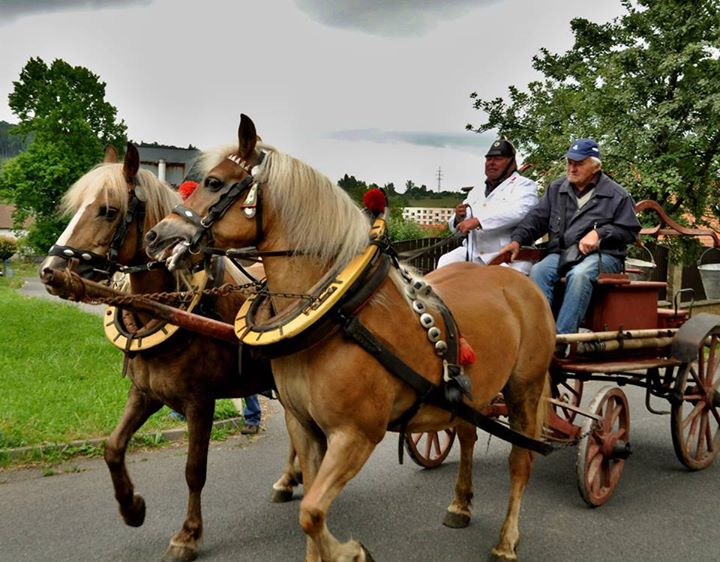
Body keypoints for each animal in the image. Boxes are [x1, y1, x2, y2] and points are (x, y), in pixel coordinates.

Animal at [38, 143, 298, 560]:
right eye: (76, 206)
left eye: (107, 210)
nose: (49, 269)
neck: (171, 307)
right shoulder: (144, 393)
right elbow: (113, 447)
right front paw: (132, 508)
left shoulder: (199, 403)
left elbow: (194, 470)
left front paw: (188, 535)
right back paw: (289, 480)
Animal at [145, 115, 552, 560]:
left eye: (215, 183)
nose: (157, 237)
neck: (337, 315)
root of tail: (518, 281)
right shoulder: (303, 426)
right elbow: (309, 512)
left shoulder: (355, 436)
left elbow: (310, 512)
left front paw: (351, 551)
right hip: (472, 398)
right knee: (467, 434)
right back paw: (460, 505)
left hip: (525, 389)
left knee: (521, 461)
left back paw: (507, 540)